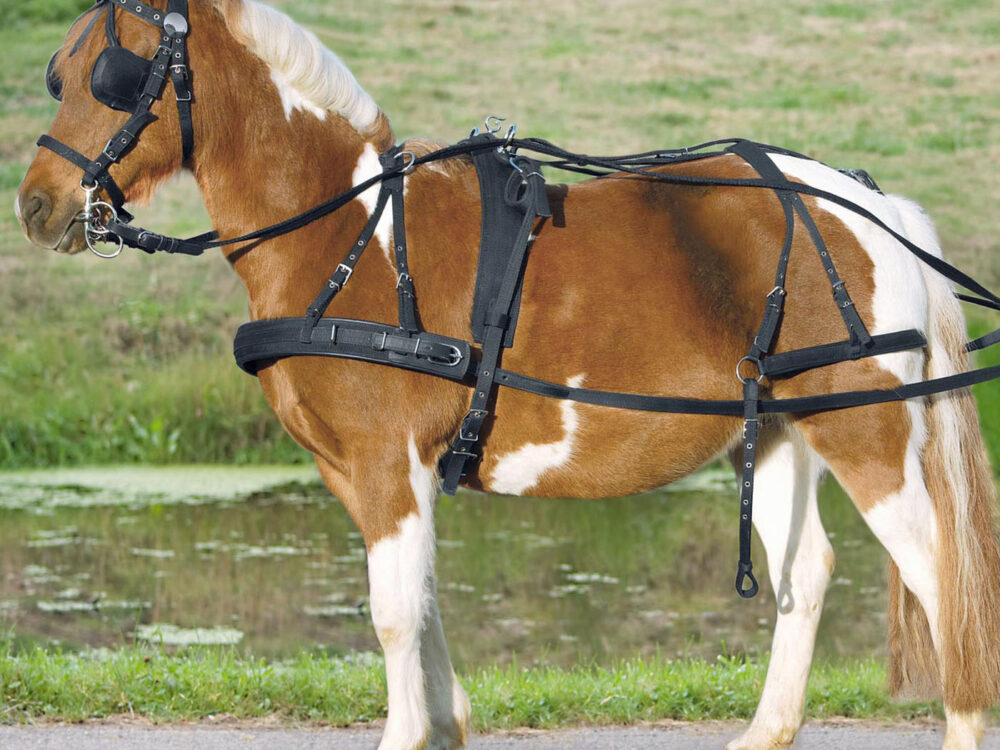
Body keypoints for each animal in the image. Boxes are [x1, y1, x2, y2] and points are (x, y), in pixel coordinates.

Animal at [15, 1, 1000, 748]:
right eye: (60, 72)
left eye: (116, 73)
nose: (36, 205)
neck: (348, 235)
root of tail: (872, 204)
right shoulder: (374, 474)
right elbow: (420, 601)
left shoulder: (386, 461)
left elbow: (392, 613)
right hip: (782, 430)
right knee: (810, 572)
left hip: (865, 429)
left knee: (944, 578)